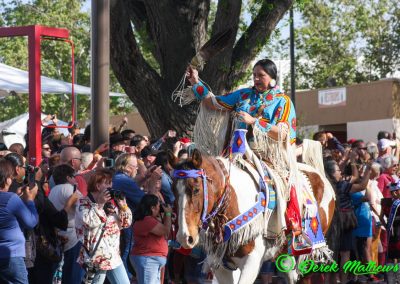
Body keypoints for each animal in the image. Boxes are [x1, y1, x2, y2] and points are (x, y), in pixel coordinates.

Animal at [173, 149, 336, 284]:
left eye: (196, 189)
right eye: (174, 191)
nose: (185, 237)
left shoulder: (251, 262)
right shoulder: (221, 265)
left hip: (310, 254)